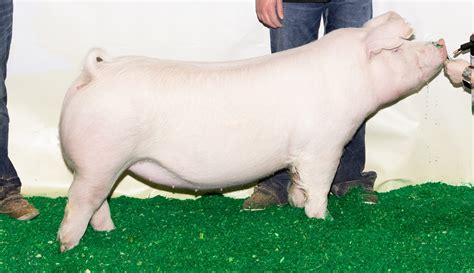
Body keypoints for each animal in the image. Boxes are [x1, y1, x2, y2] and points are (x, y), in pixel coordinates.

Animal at [57, 12, 446, 251]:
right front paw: (322, 219)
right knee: (80, 200)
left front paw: (297, 203)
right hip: (99, 159)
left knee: (98, 202)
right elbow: (320, 183)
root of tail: (95, 73)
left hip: (105, 163)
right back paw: (67, 245)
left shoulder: (301, 153)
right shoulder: (323, 144)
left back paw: (108, 232)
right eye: (399, 47)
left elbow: (299, 180)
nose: (441, 42)